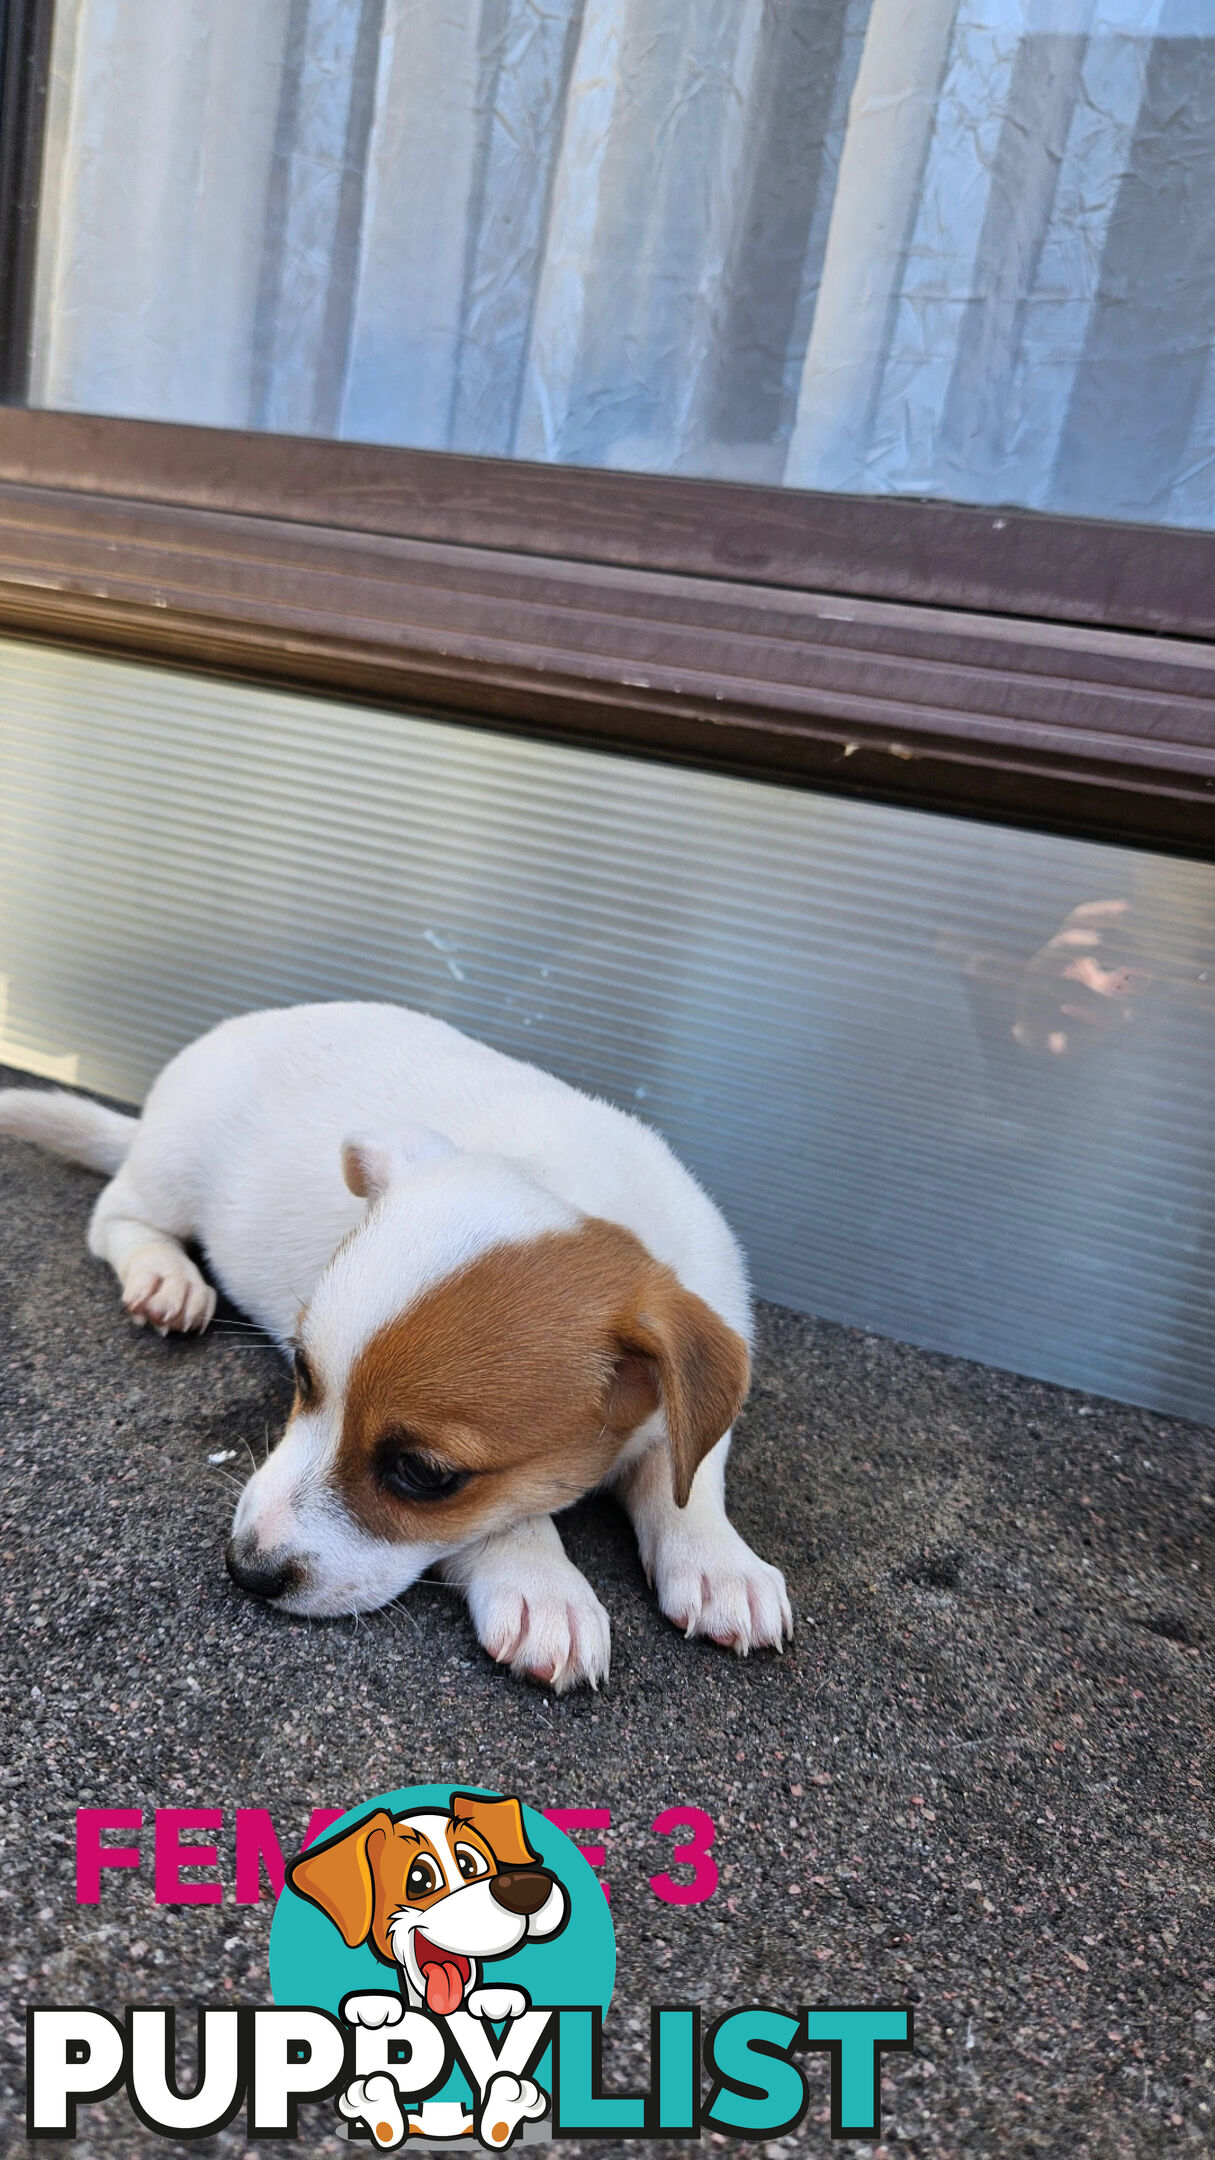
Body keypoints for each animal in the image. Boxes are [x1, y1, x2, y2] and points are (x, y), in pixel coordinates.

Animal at [0, 993, 786, 1684]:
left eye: (424, 1474)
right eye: (302, 1375)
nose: (244, 1568)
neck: (572, 1185)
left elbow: (686, 1477)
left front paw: (718, 1563)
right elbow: (506, 1521)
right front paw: (542, 1582)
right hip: (172, 1170)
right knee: (115, 1216)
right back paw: (165, 1277)